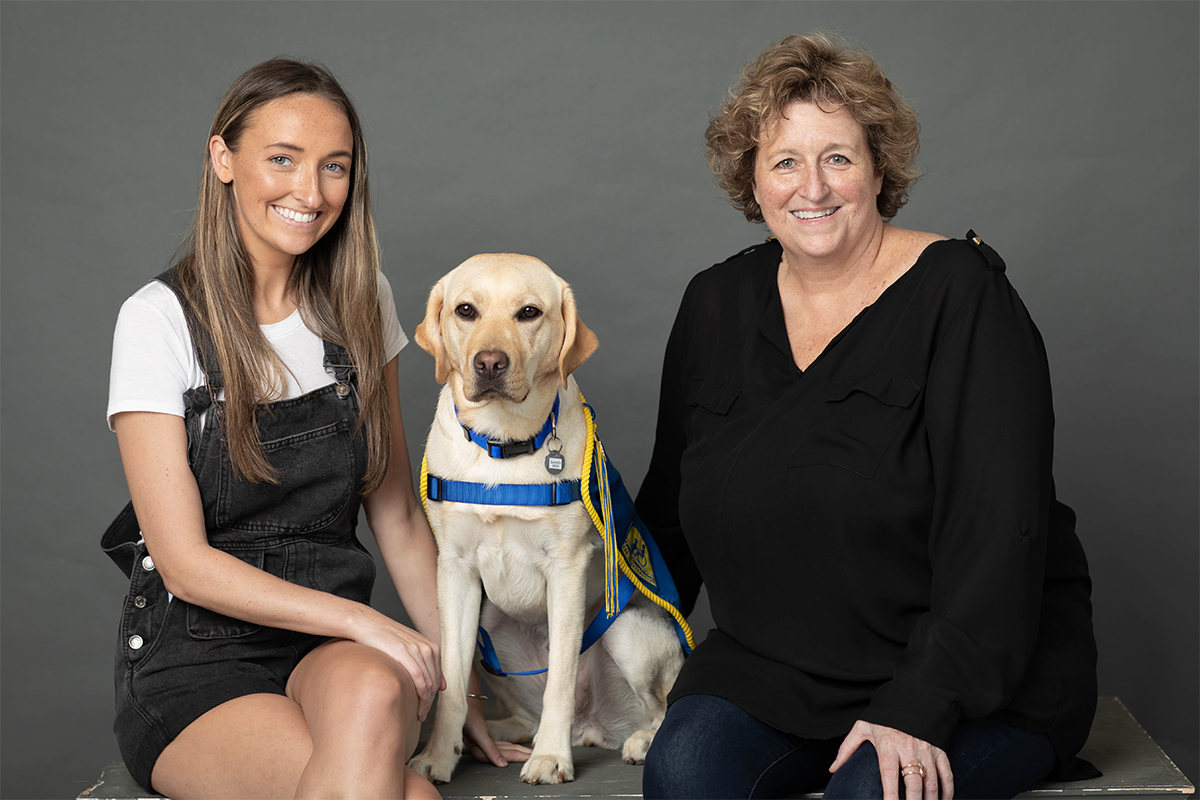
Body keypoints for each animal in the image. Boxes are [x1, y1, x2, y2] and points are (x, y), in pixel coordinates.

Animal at [408, 253, 686, 786]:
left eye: (529, 313)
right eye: (466, 310)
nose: (489, 363)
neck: (502, 443)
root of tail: (595, 726)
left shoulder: (568, 568)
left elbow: (560, 675)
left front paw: (551, 758)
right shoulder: (453, 570)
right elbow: (451, 680)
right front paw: (438, 754)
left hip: (626, 629)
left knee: (662, 711)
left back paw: (635, 741)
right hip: (488, 626)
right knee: (525, 713)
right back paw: (501, 735)